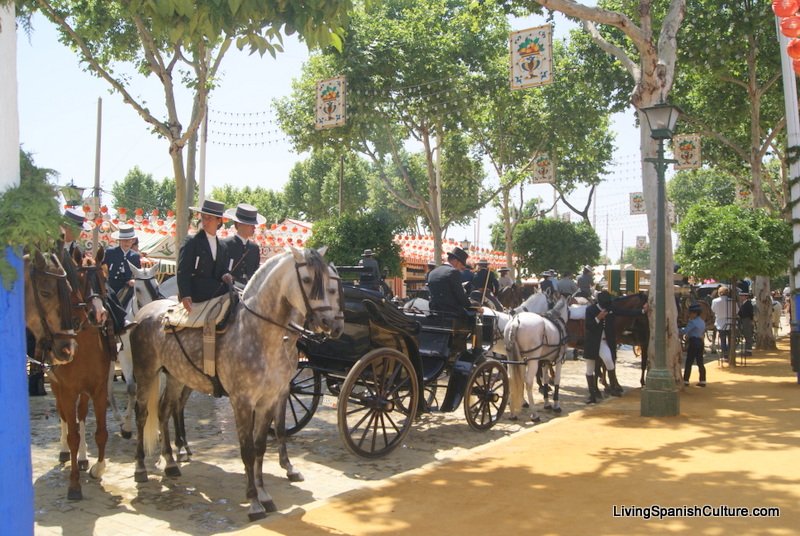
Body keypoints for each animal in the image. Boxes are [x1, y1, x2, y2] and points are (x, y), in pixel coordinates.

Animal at [129, 247, 344, 520]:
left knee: (165, 411)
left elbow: (261, 445)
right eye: (307, 280)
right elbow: (247, 449)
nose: (331, 324)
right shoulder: (242, 401)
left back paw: (170, 462)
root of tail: (146, 311)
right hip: (146, 374)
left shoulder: (269, 398)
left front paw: (264, 493)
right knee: (143, 415)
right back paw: (140, 468)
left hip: (177, 376)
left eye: (330, 283)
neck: (261, 334)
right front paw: (253, 501)